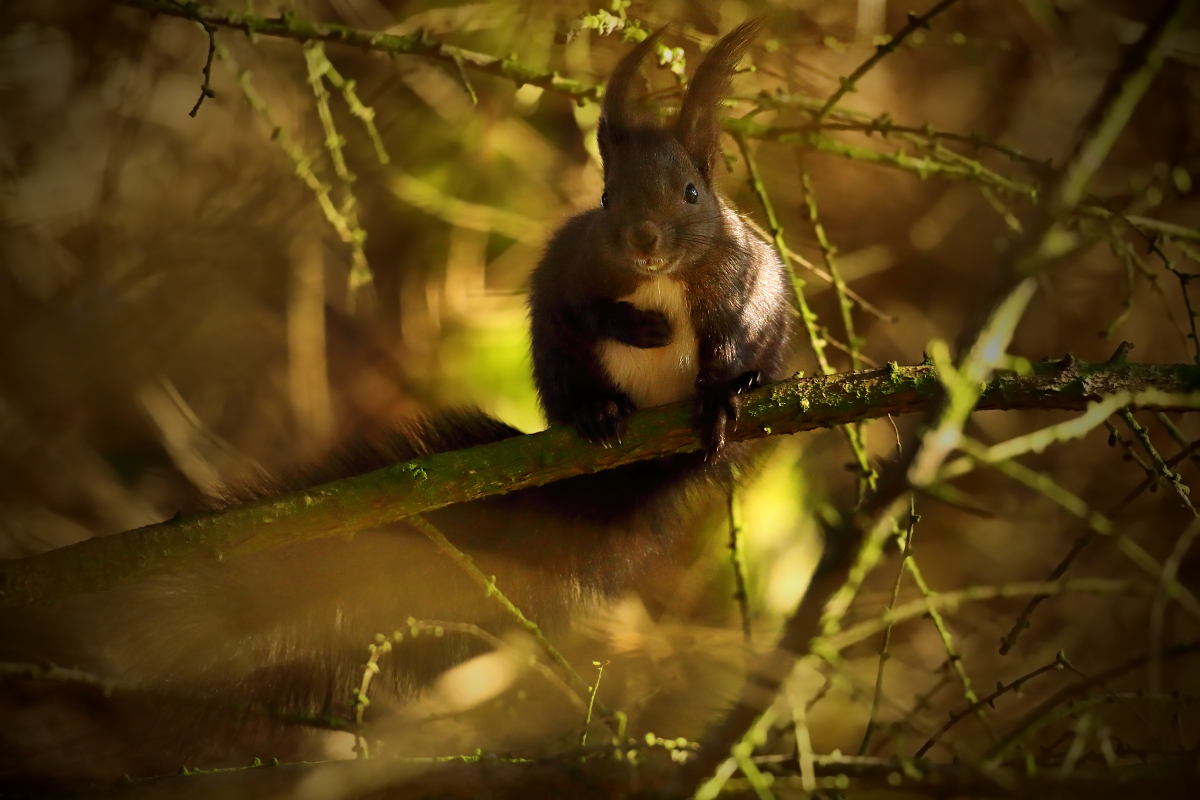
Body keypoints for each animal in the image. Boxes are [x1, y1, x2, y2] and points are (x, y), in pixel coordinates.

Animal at [0, 20, 792, 786]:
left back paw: (726, 406)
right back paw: (596, 414)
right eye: (605, 197)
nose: (643, 238)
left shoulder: (745, 282)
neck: (662, 277)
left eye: (691, 192)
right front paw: (638, 329)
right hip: (558, 361)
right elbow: (585, 307)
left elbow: (734, 335)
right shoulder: (574, 267)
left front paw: (723, 390)